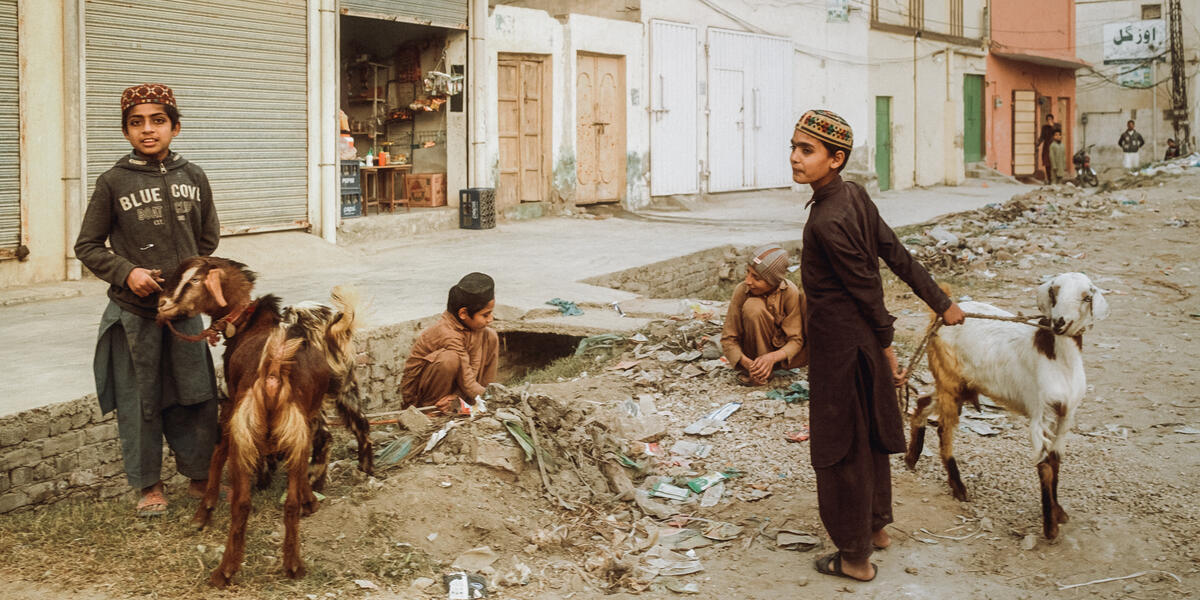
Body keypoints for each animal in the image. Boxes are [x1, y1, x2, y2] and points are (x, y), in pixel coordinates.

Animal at [157, 256, 369, 585]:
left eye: (193, 280)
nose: (162, 303)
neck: (249, 322)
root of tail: (273, 370)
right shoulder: (301, 426)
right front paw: (311, 500)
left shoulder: (229, 408)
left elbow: (216, 455)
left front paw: (201, 516)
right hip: (308, 420)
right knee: (291, 494)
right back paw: (292, 563)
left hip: (245, 435)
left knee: (241, 501)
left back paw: (225, 570)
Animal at [902, 272, 1108, 540]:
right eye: (1054, 292)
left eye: (1086, 297)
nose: (1059, 322)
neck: (1059, 361)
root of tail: (938, 316)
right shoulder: (1040, 414)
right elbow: (1045, 467)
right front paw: (1050, 527)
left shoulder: (1066, 415)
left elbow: (1055, 461)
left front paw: (1058, 511)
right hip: (949, 377)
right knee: (944, 429)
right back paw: (958, 487)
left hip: (959, 384)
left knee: (923, 402)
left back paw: (911, 458)